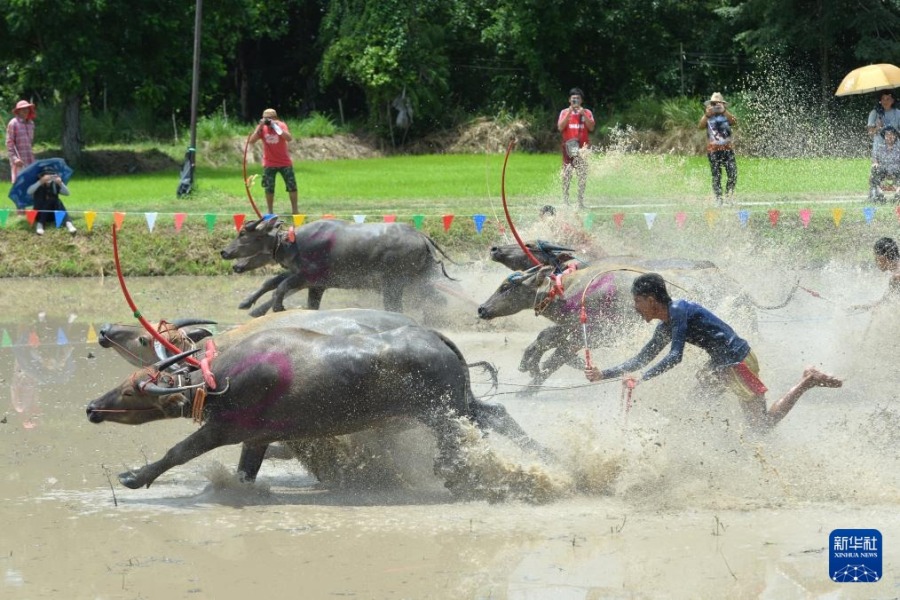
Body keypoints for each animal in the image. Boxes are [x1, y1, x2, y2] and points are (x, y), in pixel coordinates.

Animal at [86, 324, 548, 496]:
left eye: (131, 392)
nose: (91, 407)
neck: (218, 379)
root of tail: (439, 338)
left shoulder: (224, 430)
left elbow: (177, 453)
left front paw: (133, 478)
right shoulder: (257, 439)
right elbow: (246, 472)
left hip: (442, 413)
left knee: (463, 444)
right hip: (461, 405)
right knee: (497, 415)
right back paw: (551, 459)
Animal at [219, 216, 458, 318]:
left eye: (243, 233)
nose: (224, 253)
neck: (292, 243)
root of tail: (422, 237)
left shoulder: (307, 277)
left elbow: (281, 285)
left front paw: (278, 307)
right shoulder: (315, 285)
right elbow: (272, 282)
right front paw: (246, 303)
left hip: (394, 284)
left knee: (397, 308)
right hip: (421, 282)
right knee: (438, 301)